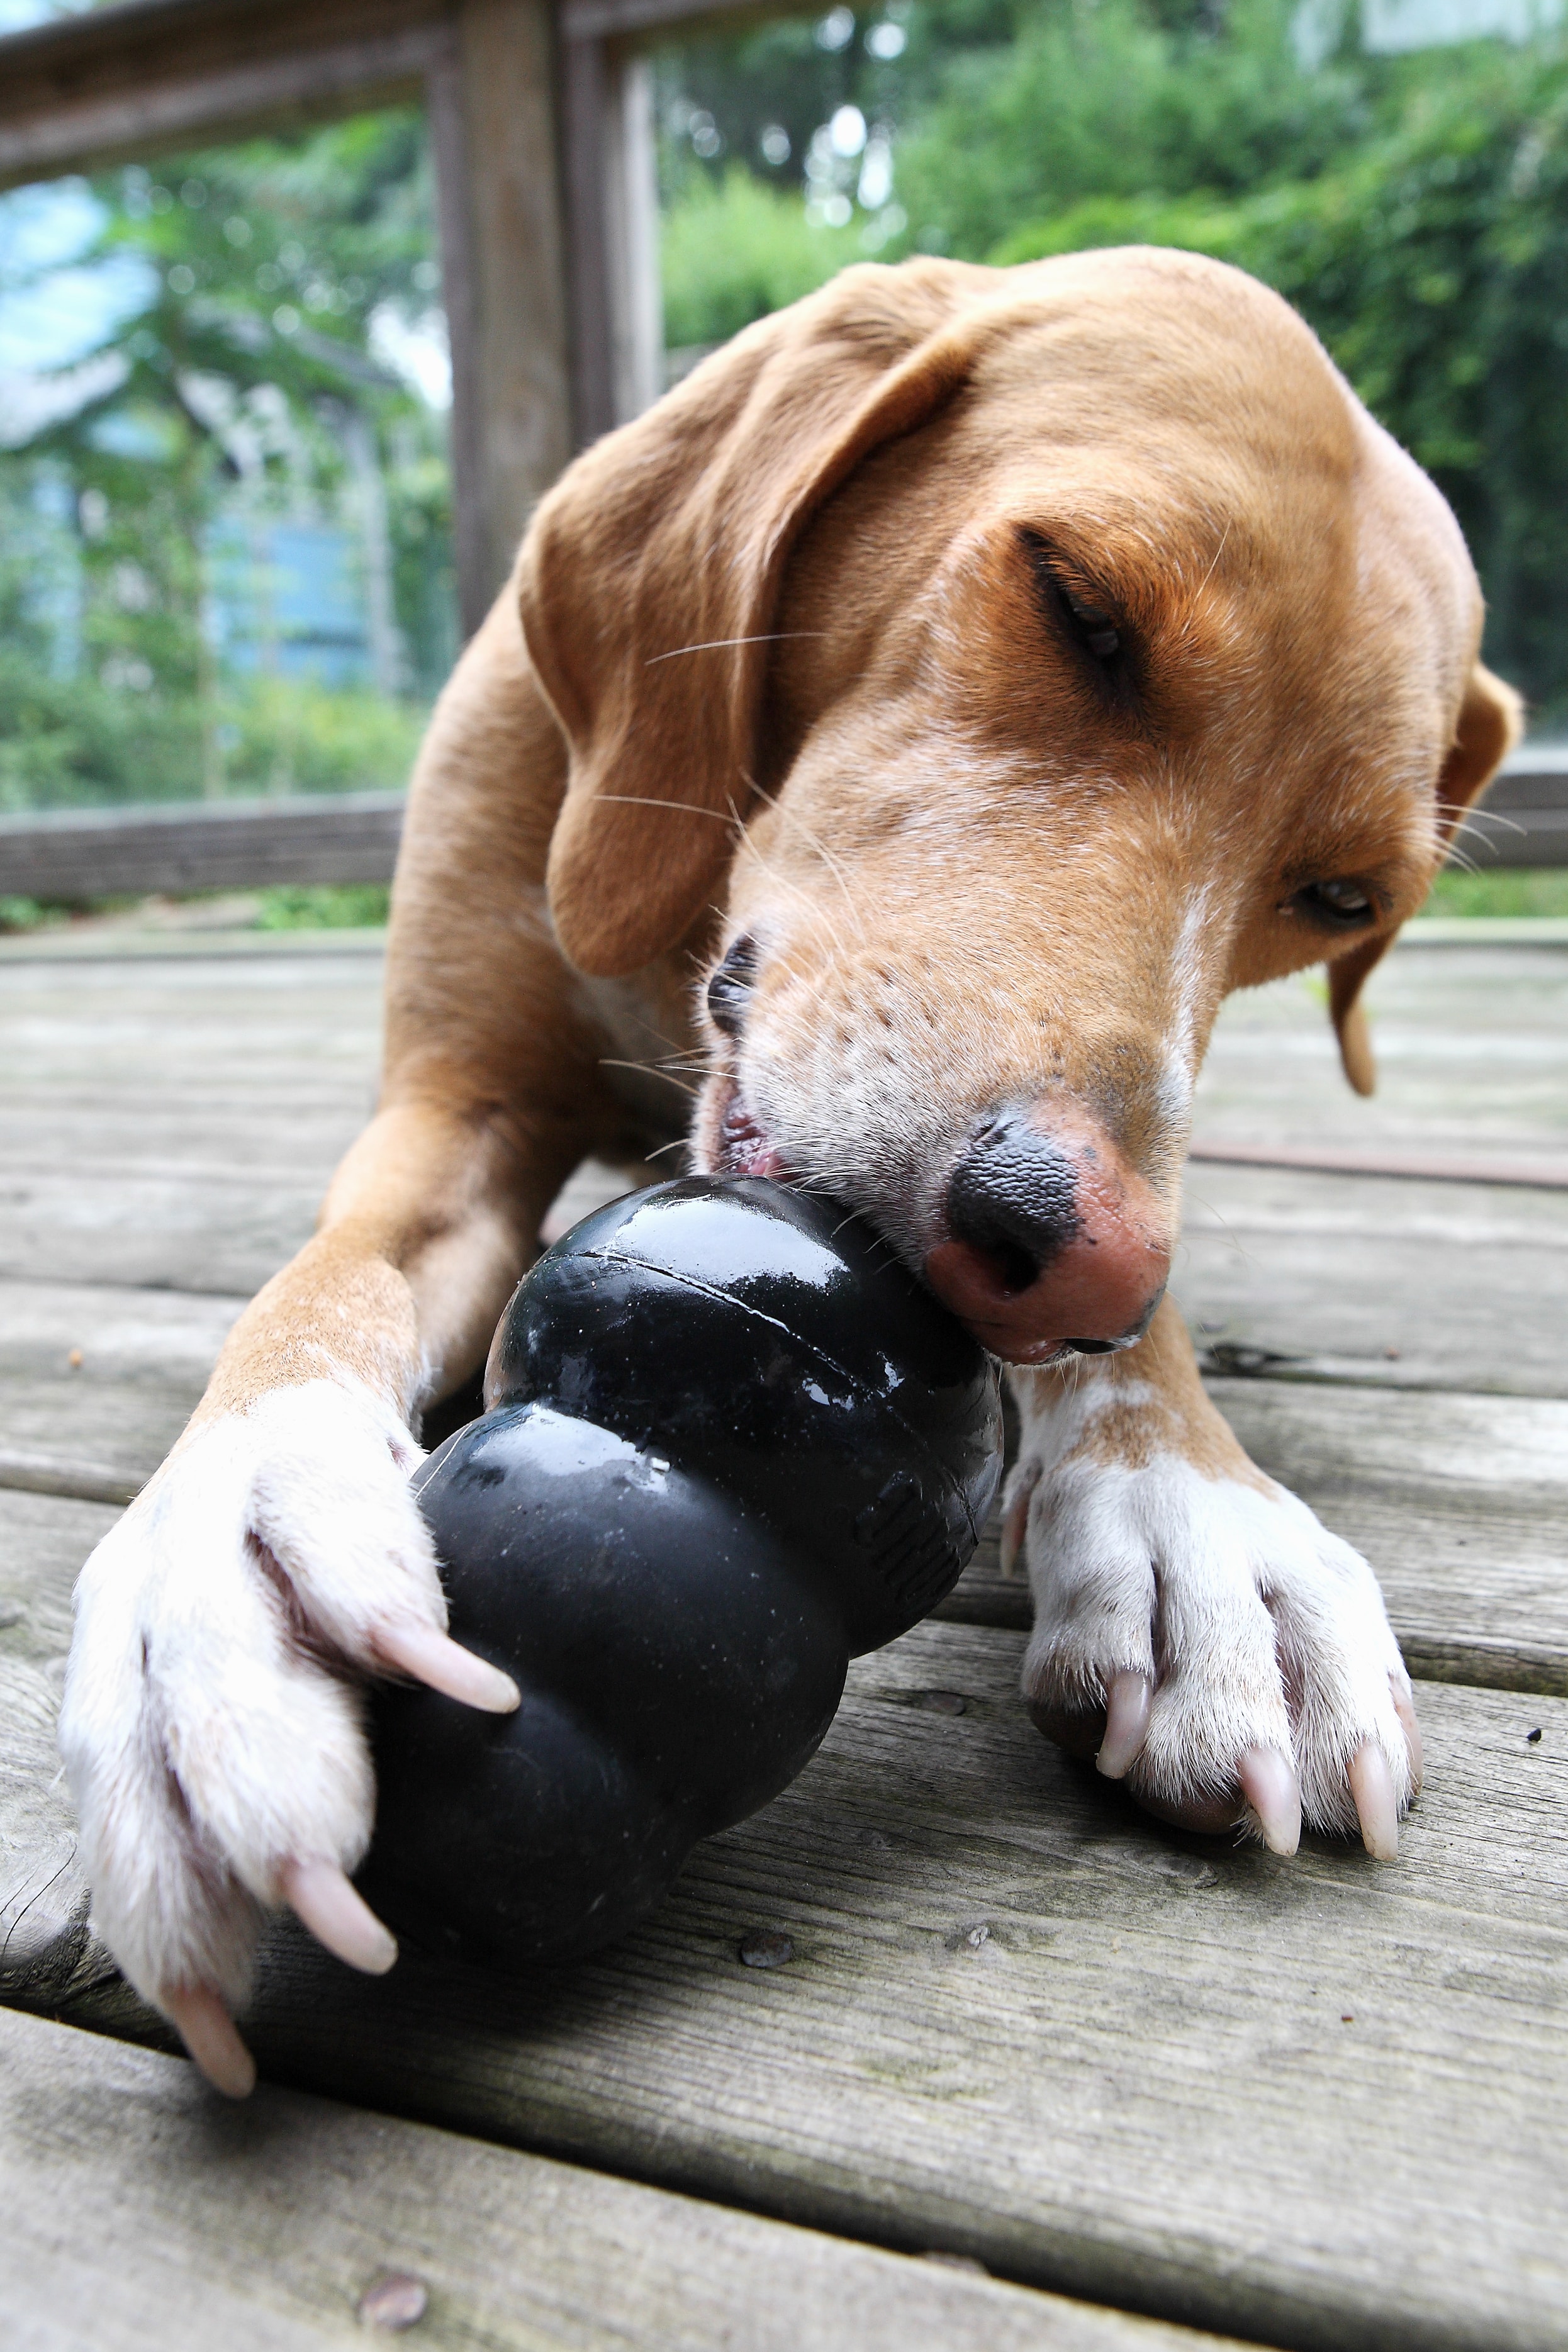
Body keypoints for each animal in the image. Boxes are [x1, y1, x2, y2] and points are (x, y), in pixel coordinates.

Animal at [58, 252, 1523, 2098]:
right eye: (1079, 608)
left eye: (1341, 898)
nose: (1073, 1251)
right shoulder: (451, 1109)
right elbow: (320, 1286)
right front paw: (233, 1569)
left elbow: (1162, 1361)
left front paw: (1207, 1523)